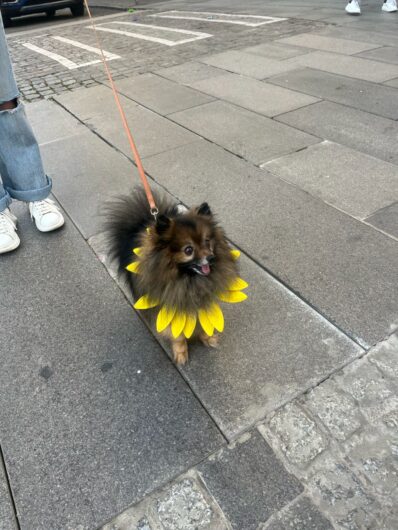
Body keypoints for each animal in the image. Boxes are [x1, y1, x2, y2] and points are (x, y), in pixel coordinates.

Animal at [104, 188, 246, 366]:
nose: (211, 258)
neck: (189, 280)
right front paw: (181, 353)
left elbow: (202, 323)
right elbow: (177, 336)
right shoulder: (170, 307)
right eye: (188, 250)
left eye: (207, 242)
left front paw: (207, 338)